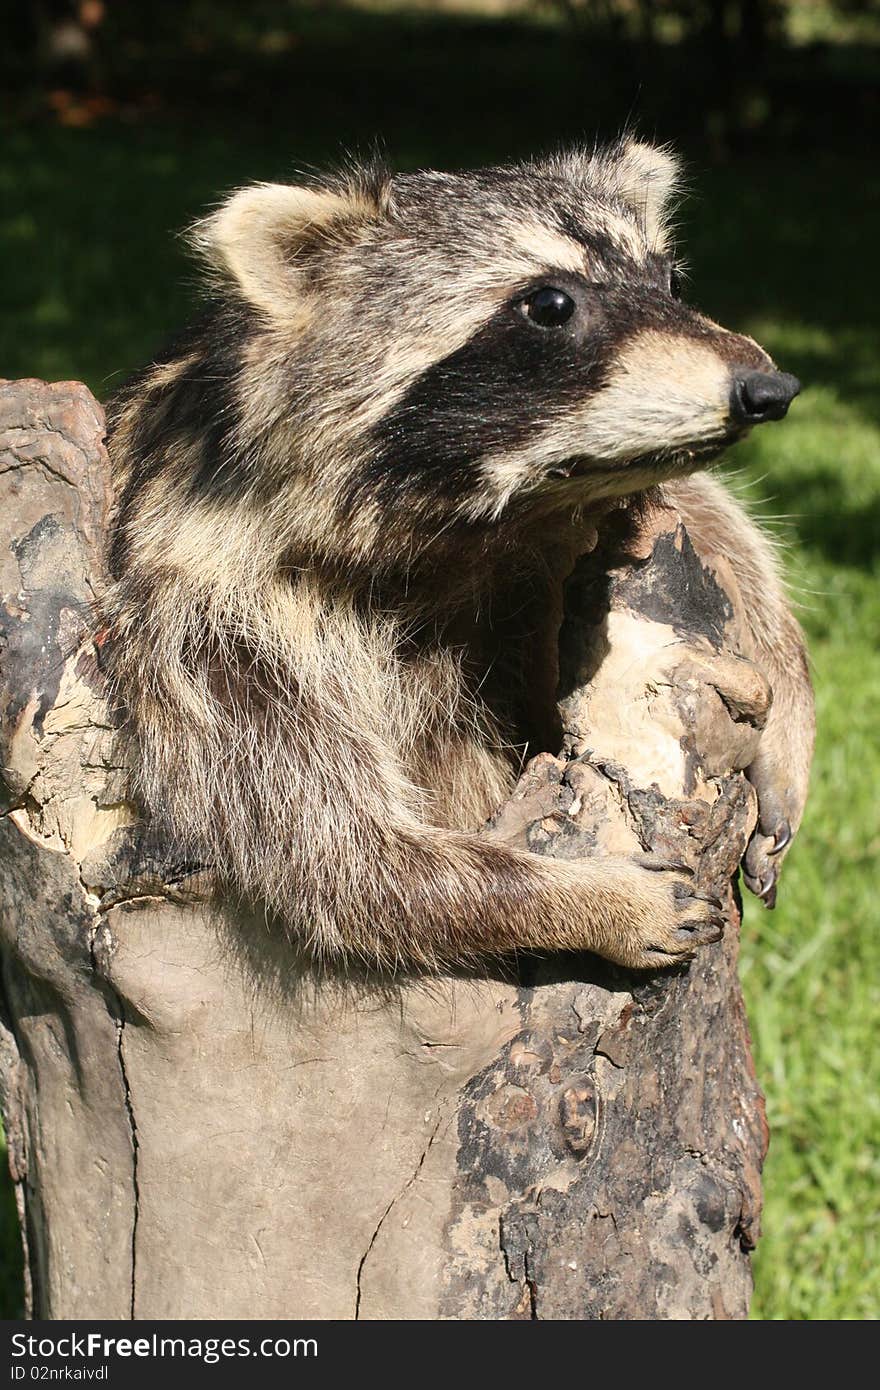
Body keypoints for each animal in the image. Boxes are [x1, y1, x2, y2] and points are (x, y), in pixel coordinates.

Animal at [104, 138, 817, 967]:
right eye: (550, 305)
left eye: (670, 281)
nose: (769, 387)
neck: (490, 521)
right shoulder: (205, 613)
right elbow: (345, 859)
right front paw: (584, 900)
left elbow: (718, 524)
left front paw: (787, 711)